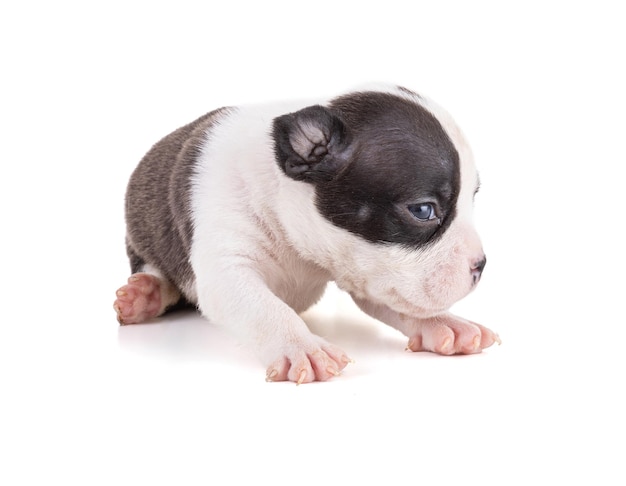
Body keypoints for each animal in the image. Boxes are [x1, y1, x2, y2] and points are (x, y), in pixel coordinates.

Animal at [114, 85, 500, 386]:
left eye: (472, 199)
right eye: (423, 210)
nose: (481, 265)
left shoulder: (365, 270)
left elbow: (397, 302)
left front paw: (444, 324)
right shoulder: (228, 269)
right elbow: (264, 308)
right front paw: (300, 345)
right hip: (141, 238)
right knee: (153, 270)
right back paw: (145, 294)